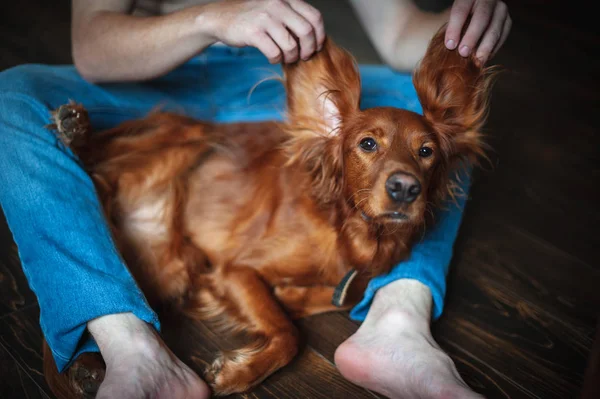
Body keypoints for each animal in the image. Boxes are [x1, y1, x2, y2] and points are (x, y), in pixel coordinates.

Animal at [45, 27, 496, 396]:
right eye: (368, 144)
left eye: (427, 152)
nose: (405, 188)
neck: (349, 234)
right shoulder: (236, 270)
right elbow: (288, 334)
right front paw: (239, 373)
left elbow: (300, 312)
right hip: (183, 132)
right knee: (98, 157)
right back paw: (76, 129)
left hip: (171, 268)